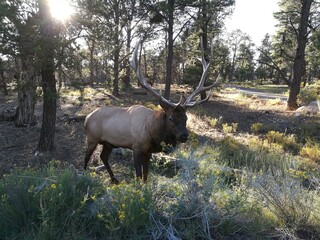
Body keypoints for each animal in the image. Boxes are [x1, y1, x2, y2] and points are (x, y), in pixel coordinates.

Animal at [84, 39, 219, 183]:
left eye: (186, 117)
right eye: (171, 118)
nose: (184, 135)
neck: (152, 133)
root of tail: (86, 118)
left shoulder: (147, 151)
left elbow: (145, 175)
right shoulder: (136, 147)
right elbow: (138, 175)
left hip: (108, 143)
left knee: (103, 157)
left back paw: (114, 179)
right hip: (92, 138)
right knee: (86, 157)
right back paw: (84, 174)